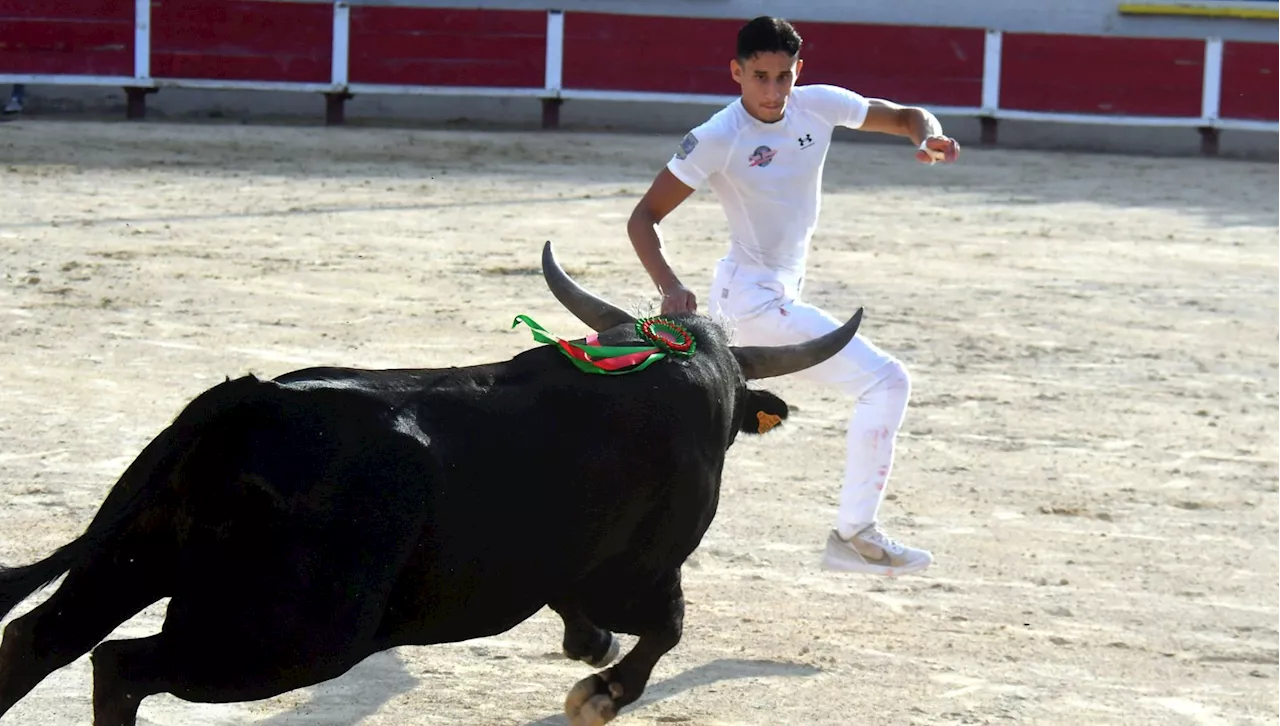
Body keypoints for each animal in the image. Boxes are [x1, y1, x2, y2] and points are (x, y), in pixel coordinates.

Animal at [0, 244, 865, 726]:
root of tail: (248, 400)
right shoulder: (646, 571)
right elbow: (668, 631)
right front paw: (597, 693)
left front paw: (586, 649)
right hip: (288, 638)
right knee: (119, 667)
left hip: (132, 557)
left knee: (38, 640)